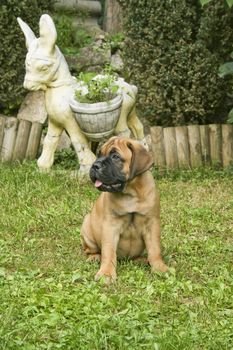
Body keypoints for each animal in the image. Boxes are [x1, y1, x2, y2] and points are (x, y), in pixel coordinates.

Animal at [80, 136, 167, 282]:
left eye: (115, 156)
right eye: (99, 154)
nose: (95, 165)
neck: (131, 193)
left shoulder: (152, 223)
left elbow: (155, 248)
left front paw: (159, 267)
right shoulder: (110, 226)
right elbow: (108, 251)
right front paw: (106, 273)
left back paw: (142, 259)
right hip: (87, 227)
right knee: (91, 250)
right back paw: (95, 257)